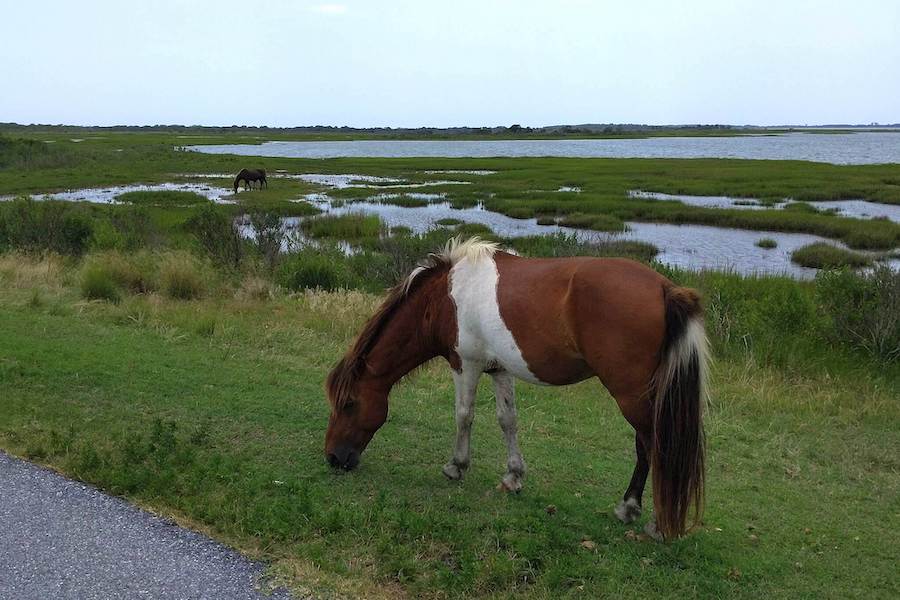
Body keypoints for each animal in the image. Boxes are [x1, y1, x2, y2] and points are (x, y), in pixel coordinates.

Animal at [326, 237, 712, 540]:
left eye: (348, 404)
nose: (333, 458)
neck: (445, 296)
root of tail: (665, 288)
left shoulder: (465, 364)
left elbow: (464, 415)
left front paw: (456, 466)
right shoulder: (499, 370)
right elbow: (506, 420)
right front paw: (513, 476)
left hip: (632, 395)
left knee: (653, 446)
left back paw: (644, 517)